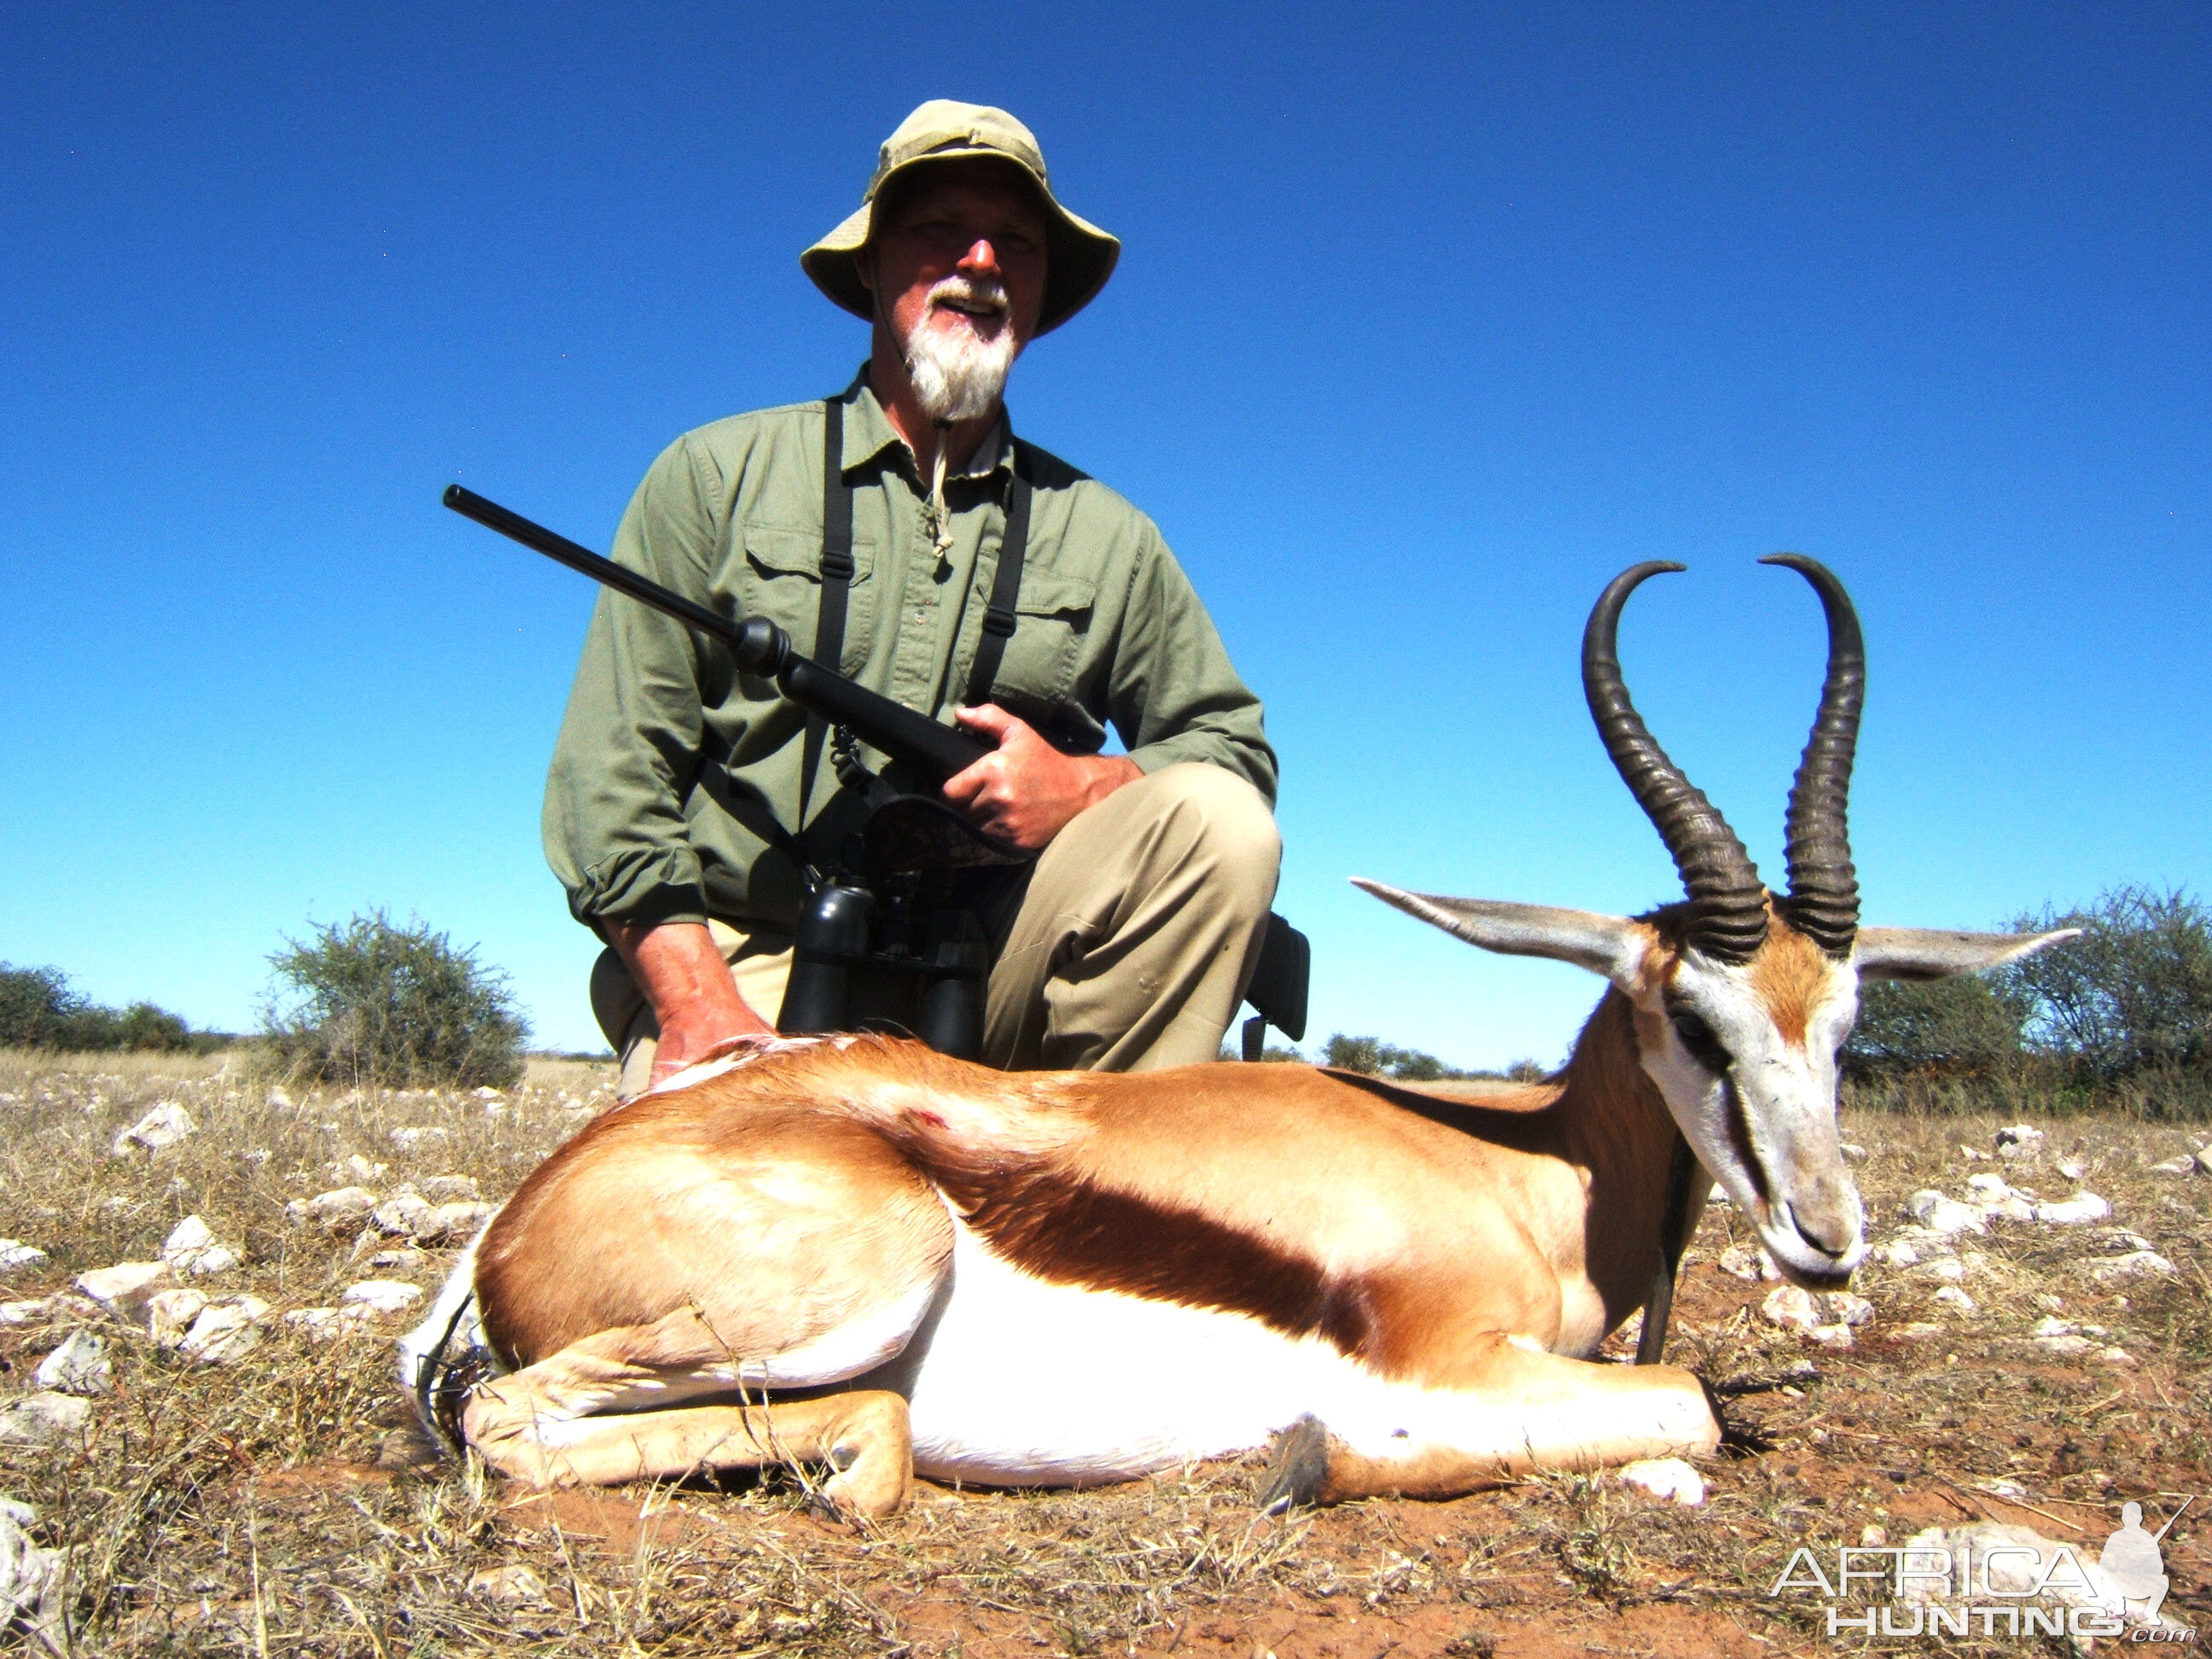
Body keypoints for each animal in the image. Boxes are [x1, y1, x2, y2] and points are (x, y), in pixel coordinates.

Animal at [406, 555, 2079, 1522]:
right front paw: (1323, 1455)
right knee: (517, 1415)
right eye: (1694, 1014)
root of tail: (520, 1215)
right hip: (853, 1285)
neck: (1526, 1171)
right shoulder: (1454, 1355)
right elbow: (1688, 1406)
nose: (1825, 1235)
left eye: (1848, 1020)